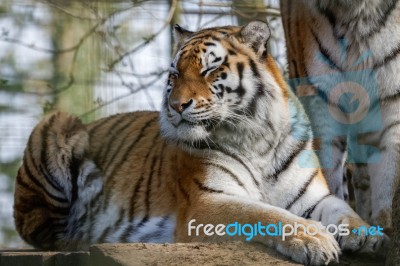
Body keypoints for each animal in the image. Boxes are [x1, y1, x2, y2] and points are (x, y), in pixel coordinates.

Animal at [14, 21, 386, 266]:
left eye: (209, 71)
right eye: (175, 74)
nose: (177, 106)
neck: (257, 140)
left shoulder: (313, 197)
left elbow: (343, 210)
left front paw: (368, 234)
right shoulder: (208, 200)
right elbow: (264, 213)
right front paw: (314, 239)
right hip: (58, 125)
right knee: (44, 230)